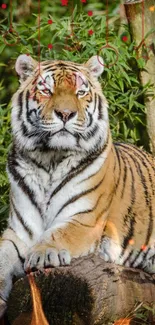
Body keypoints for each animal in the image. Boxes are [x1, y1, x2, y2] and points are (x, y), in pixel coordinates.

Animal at [0, 53, 155, 316]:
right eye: (46, 90)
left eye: (81, 92)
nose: (65, 114)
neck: (49, 160)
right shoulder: (20, 231)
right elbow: (2, 257)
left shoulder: (84, 219)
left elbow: (58, 233)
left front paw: (42, 254)